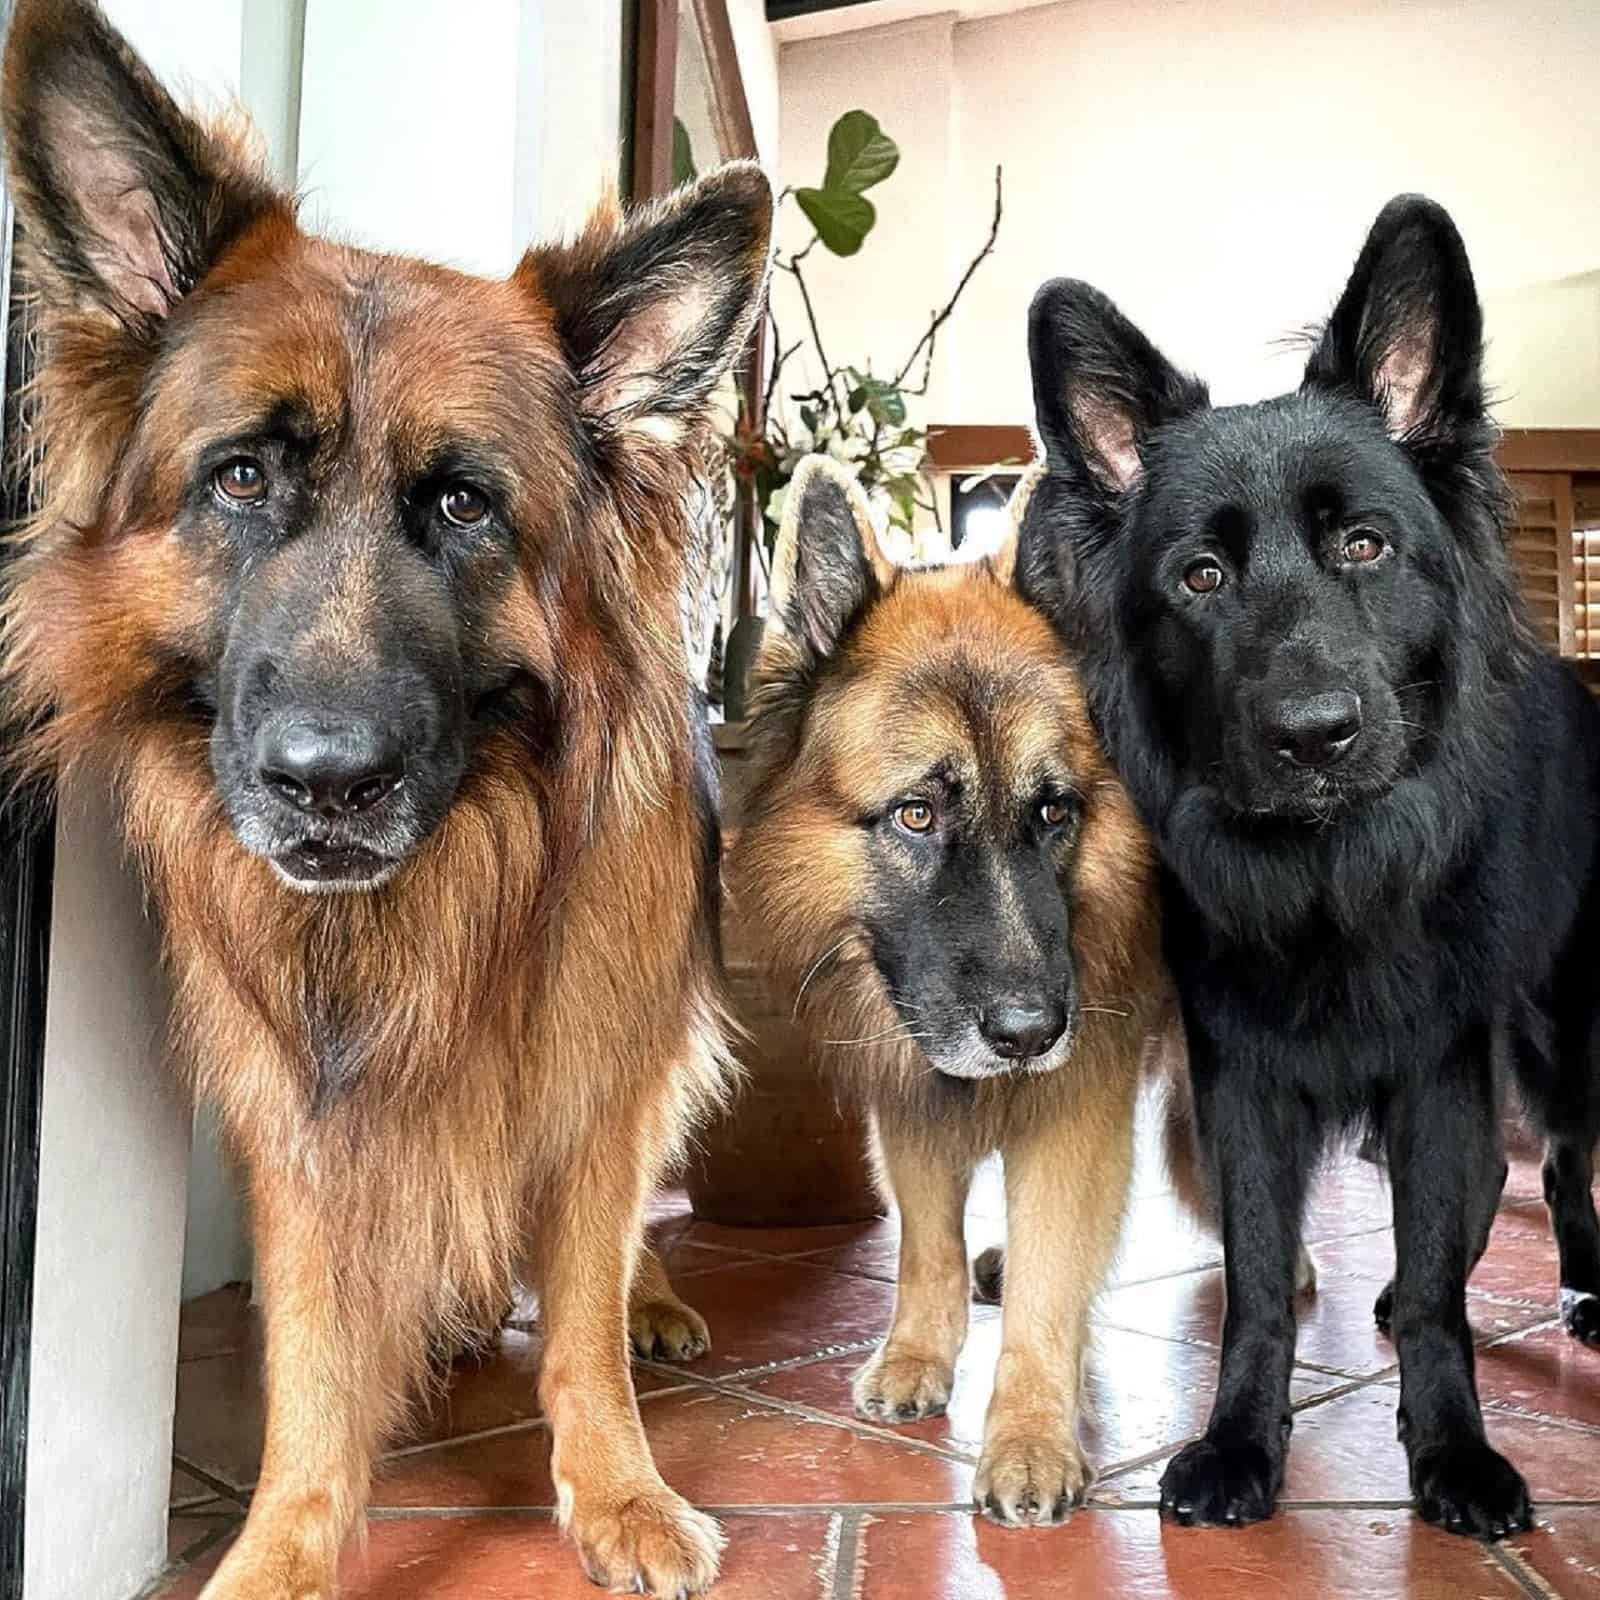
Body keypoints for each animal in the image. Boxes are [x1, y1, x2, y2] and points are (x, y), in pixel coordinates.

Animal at [1017, 196, 1600, 1536]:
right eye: (1201, 577)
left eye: (1366, 546)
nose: (1313, 735)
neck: (1332, 885)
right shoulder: (1243, 1079)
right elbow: (1255, 1281)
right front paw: (1239, 1441)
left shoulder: (1440, 1061)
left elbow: (1438, 1283)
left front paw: (1454, 1451)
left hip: (1558, 1028)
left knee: (1562, 1158)